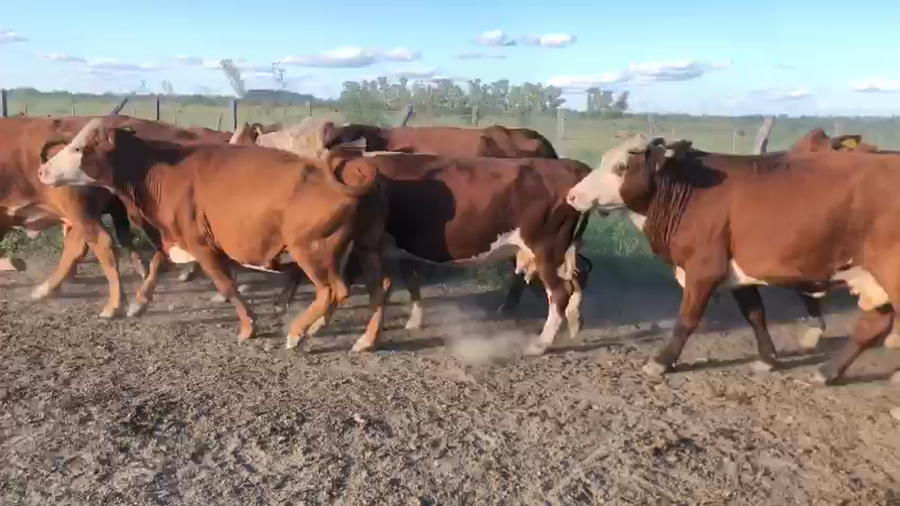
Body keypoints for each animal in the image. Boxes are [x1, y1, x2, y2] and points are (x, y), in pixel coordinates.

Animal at [37, 118, 390, 352]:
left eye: (79, 147)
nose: (42, 171)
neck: (162, 170)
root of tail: (345, 176)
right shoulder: (173, 236)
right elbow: (157, 264)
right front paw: (138, 303)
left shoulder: (202, 244)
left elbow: (226, 284)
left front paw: (248, 326)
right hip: (367, 246)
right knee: (379, 288)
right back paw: (362, 338)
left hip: (312, 252)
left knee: (333, 291)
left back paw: (298, 332)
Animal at [566, 134, 900, 385]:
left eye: (621, 166)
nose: (572, 195)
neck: (687, 190)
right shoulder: (736, 271)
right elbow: (755, 315)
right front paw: (768, 358)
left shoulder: (704, 270)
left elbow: (687, 319)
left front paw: (662, 361)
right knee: (874, 324)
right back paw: (827, 371)